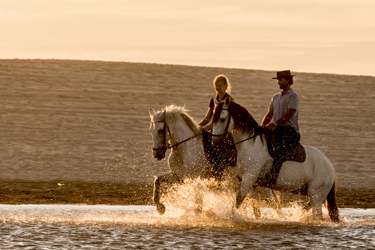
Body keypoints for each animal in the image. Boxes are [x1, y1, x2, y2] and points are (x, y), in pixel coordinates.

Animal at [148, 104, 280, 216]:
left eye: (160, 131)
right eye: (151, 130)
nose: (156, 154)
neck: (185, 149)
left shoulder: (195, 179)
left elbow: (198, 203)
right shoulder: (179, 176)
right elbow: (157, 180)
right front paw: (160, 207)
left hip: (257, 184)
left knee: (273, 204)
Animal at [212, 98, 340, 222]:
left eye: (222, 119)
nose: (215, 142)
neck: (251, 144)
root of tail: (330, 166)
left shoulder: (249, 178)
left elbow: (239, 200)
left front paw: (232, 216)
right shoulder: (254, 183)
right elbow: (259, 205)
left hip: (316, 194)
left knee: (317, 215)